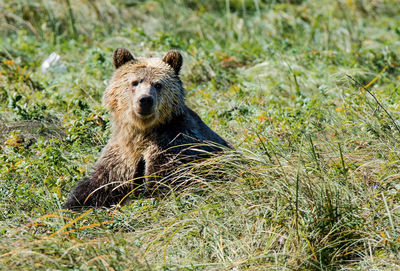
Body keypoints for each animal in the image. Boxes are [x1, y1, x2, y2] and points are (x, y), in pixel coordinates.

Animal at [64, 49, 230, 210]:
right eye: (135, 82)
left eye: (158, 84)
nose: (145, 100)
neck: (142, 130)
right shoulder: (121, 152)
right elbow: (99, 184)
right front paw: (74, 203)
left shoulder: (173, 146)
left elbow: (166, 183)